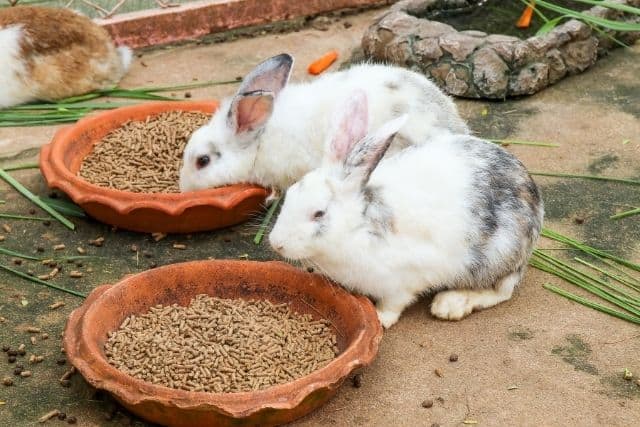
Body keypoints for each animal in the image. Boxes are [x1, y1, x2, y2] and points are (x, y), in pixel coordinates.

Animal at [268, 90, 544, 328]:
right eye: (290, 194)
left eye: (319, 213)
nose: (275, 243)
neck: (358, 227)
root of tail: (534, 199)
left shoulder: (402, 281)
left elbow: (394, 304)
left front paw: (380, 319)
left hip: (497, 255)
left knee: (502, 291)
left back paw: (450, 304)